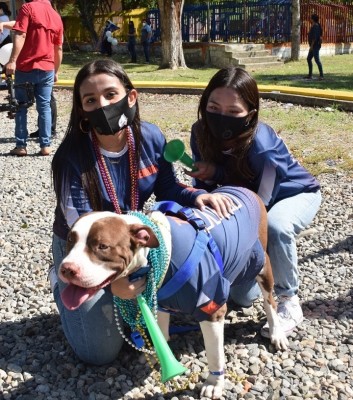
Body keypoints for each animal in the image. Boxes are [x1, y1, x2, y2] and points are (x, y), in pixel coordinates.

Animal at [59, 186, 288, 398]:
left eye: (102, 246)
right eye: (70, 239)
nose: (67, 268)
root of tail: (245, 189)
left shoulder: (211, 309)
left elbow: (215, 354)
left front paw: (214, 383)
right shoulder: (160, 301)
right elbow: (160, 331)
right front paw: (159, 356)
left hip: (260, 264)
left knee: (270, 301)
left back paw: (276, 332)